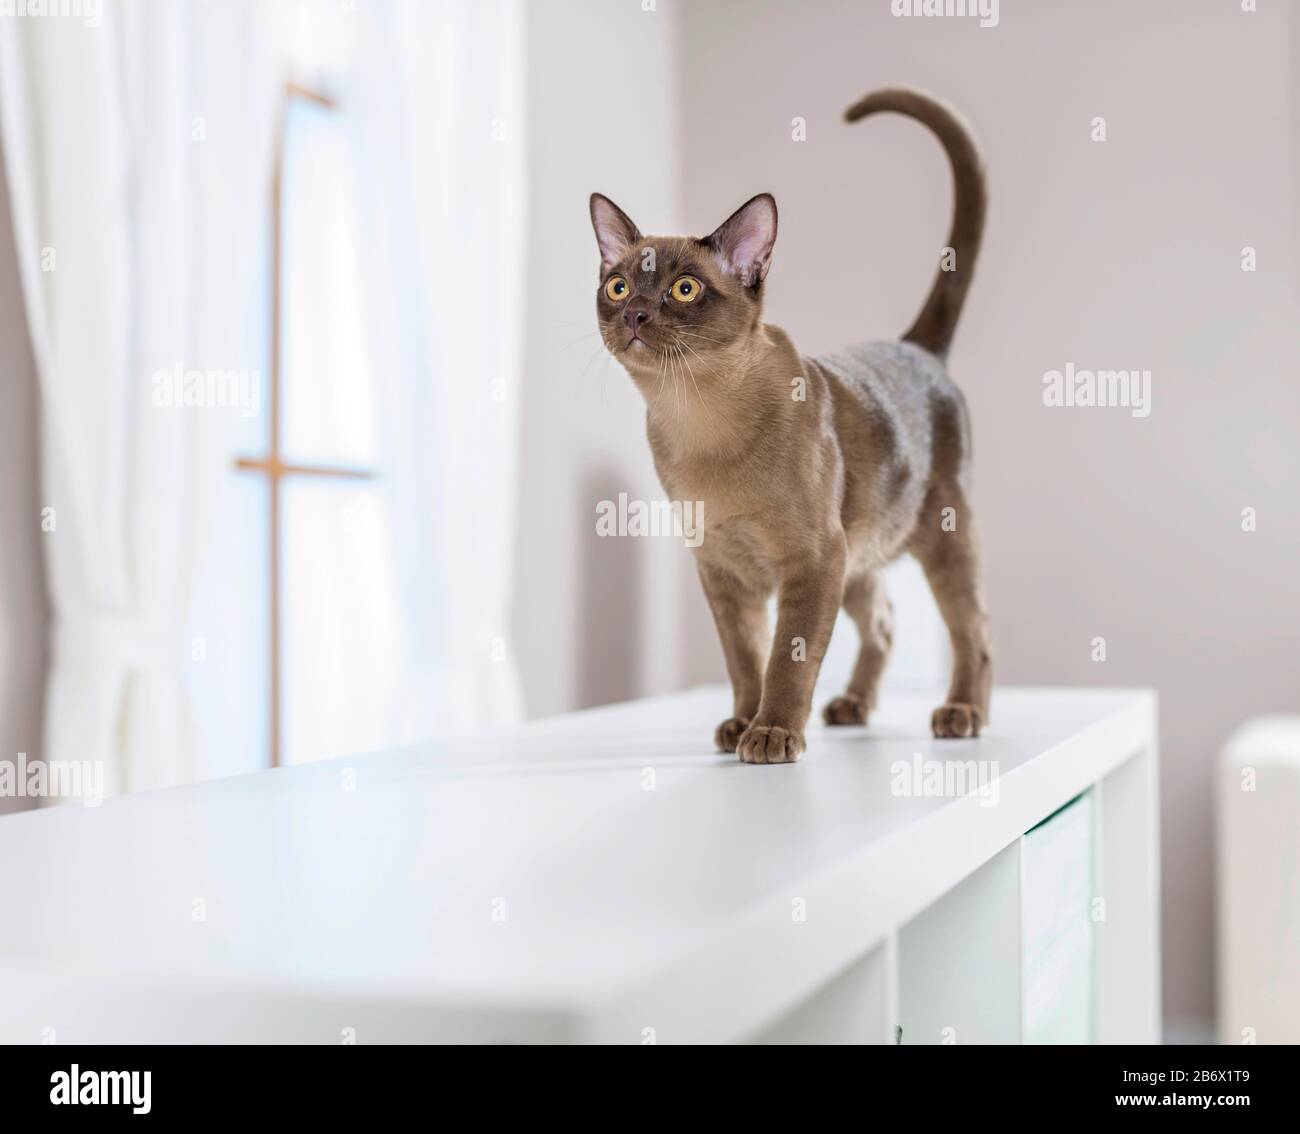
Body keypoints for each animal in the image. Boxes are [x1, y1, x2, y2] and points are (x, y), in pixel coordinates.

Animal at [592, 86, 993, 759]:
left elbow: (788, 659)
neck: (697, 420)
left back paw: (961, 713)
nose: (636, 316)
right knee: (885, 622)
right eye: (619, 287)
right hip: (858, 554)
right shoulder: (726, 573)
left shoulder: (811, 560)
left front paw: (772, 733)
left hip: (942, 538)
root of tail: (916, 347)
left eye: (683, 289)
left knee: (974, 631)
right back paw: (852, 707)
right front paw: (741, 724)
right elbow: (744, 660)